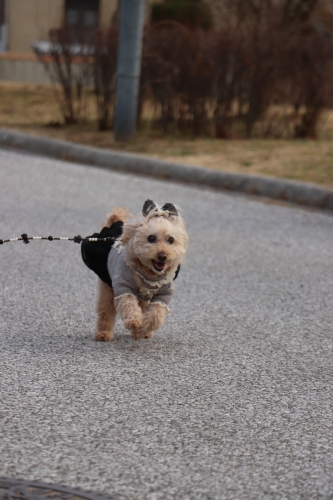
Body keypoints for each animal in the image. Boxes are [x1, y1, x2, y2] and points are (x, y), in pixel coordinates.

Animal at [80, 201, 188, 342]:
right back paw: (103, 334)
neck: (149, 274)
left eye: (171, 240)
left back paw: (146, 333)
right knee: (106, 311)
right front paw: (135, 323)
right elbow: (128, 304)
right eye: (151, 238)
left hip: (143, 298)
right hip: (107, 286)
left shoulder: (164, 294)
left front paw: (140, 331)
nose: (162, 256)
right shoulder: (122, 286)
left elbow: (156, 315)